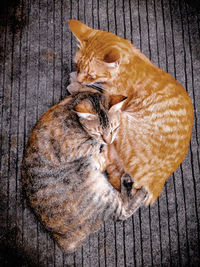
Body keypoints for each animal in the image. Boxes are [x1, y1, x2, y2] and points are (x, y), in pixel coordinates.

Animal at [21, 89, 147, 253]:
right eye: (99, 133)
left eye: (113, 128)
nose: (108, 141)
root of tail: (61, 239)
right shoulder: (72, 148)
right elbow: (92, 144)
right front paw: (101, 144)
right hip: (100, 196)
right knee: (122, 211)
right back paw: (134, 186)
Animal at [68, 19, 193, 206]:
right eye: (77, 65)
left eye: (91, 75)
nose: (80, 78)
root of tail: (157, 183)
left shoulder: (113, 98)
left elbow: (94, 92)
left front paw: (76, 84)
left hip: (121, 125)